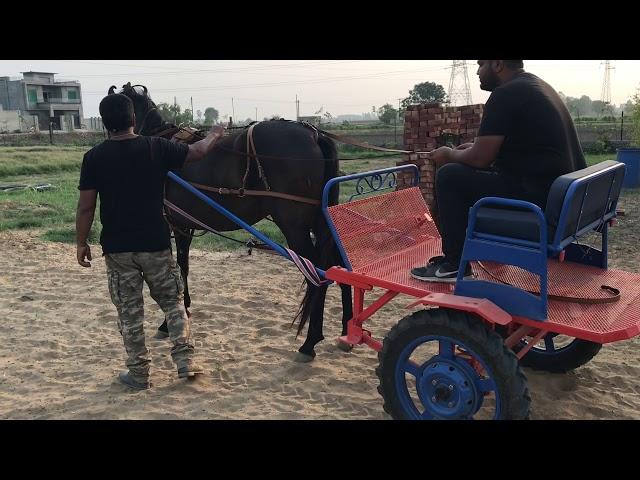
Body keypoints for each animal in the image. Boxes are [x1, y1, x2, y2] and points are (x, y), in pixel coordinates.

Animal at [112, 82, 356, 362]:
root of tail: (313, 134)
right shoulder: (184, 225)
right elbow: (183, 267)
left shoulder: (173, 224)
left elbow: (175, 272)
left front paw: (167, 322)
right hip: (320, 221)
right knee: (337, 265)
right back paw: (347, 328)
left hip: (294, 226)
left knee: (317, 272)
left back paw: (310, 341)